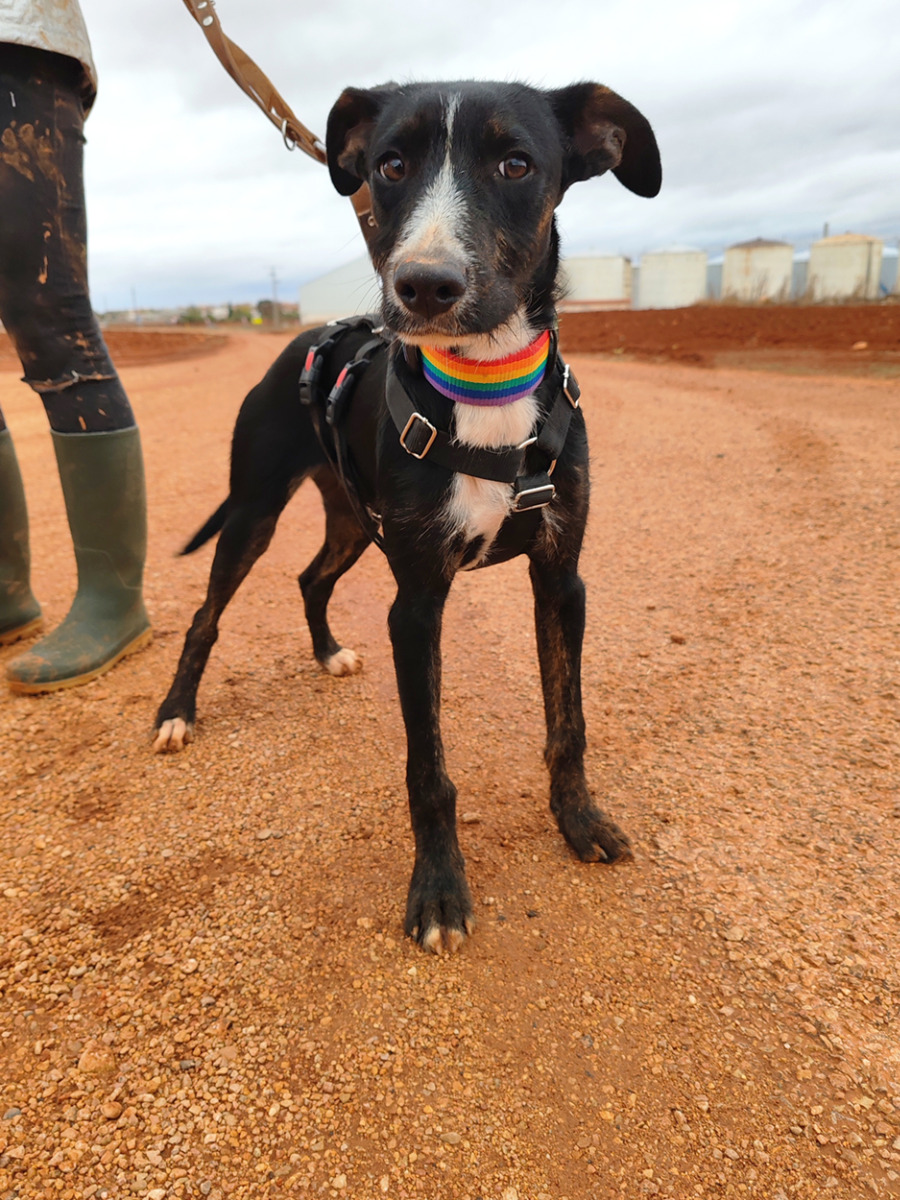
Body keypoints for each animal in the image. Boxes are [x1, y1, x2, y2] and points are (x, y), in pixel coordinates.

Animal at [153, 79, 661, 953]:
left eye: (516, 162)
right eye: (390, 164)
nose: (423, 287)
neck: (486, 390)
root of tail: (309, 340)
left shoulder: (561, 578)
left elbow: (569, 722)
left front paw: (578, 819)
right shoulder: (417, 603)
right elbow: (429, 770)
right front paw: (439, 890)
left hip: (354, 522)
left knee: (310, 578)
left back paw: (326, 653)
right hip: (254, 511)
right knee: (205, 616)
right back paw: (177, 713)